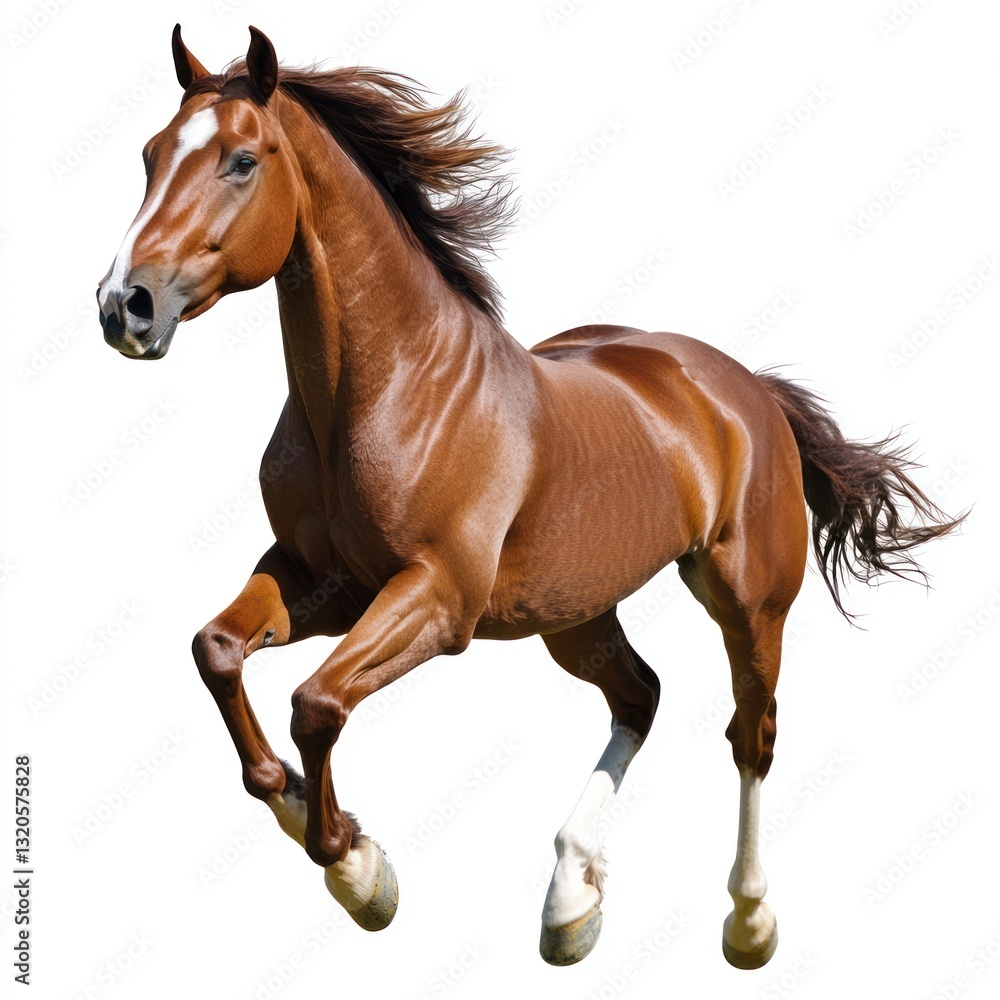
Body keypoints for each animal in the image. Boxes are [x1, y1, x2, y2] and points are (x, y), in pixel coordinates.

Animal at [96, 25, 963, 969]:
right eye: (149, 155)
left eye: (242, 161)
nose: (124, 305)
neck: (385, 391)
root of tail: (745, 389)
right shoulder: (317, 580)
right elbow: (218, 653)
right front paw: (325, 825)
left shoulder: (438, 599)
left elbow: (316, 704)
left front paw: (357, 871)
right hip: (575, 612)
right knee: (640, 695)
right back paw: (570, 901)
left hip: (747, 601)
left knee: (752, 734)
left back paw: (747, 921)